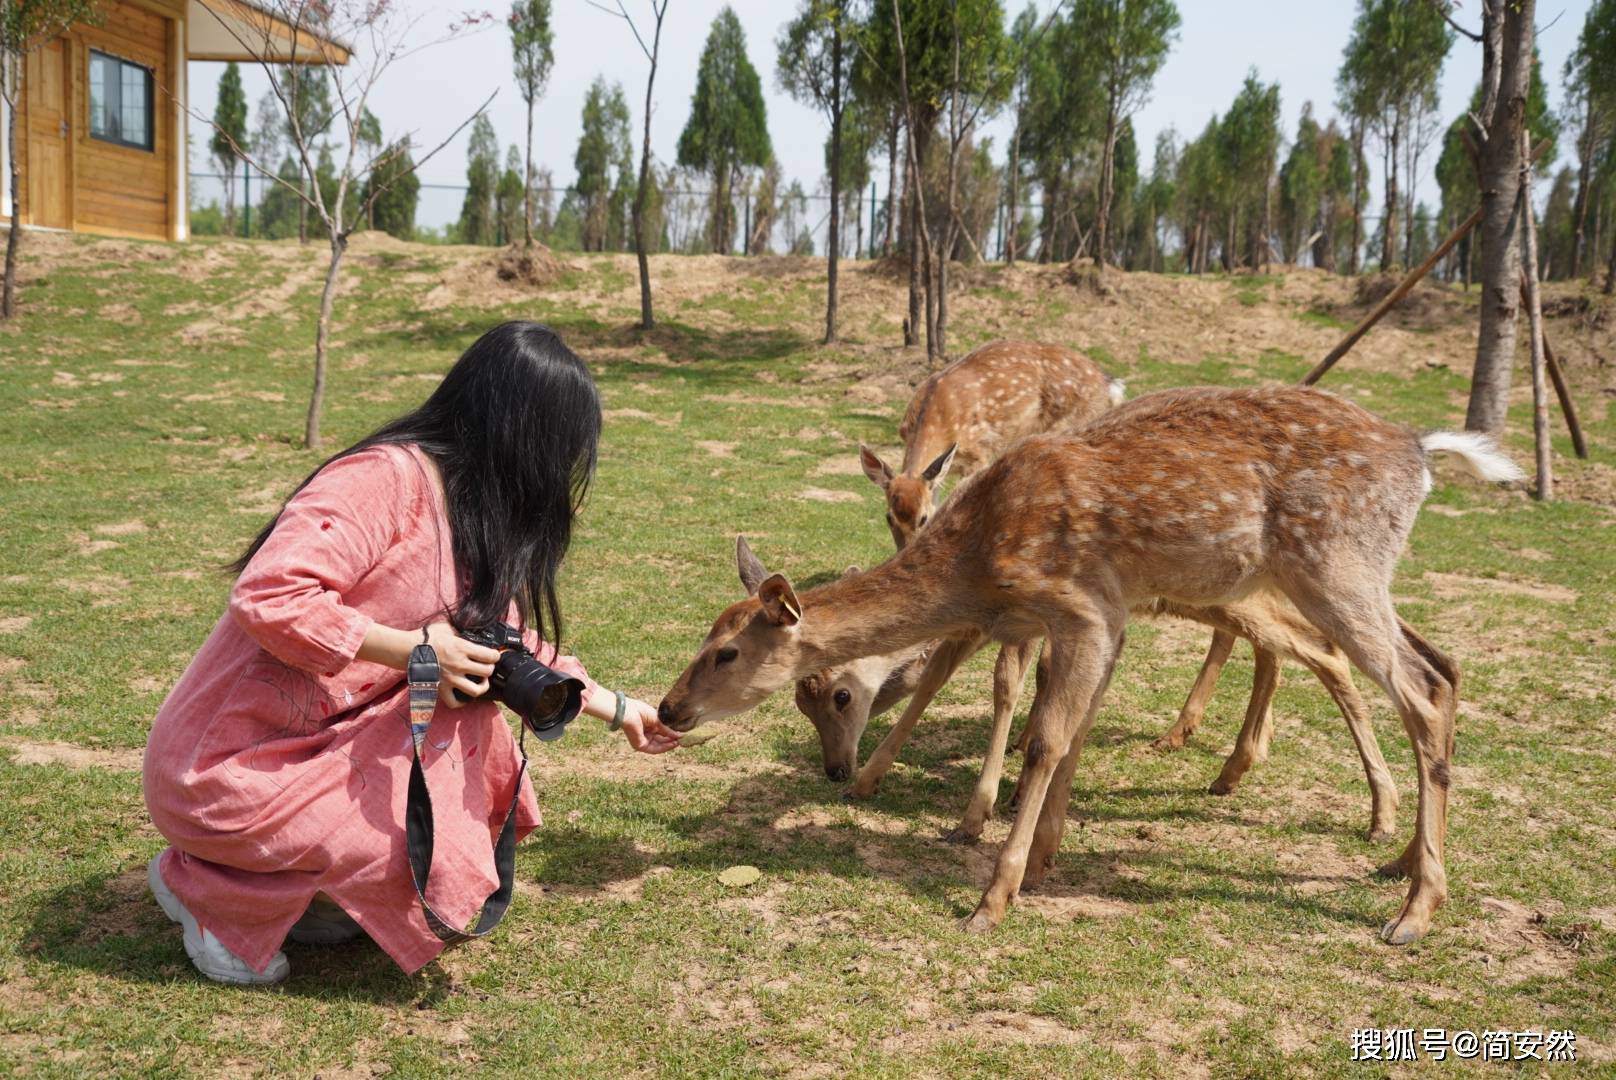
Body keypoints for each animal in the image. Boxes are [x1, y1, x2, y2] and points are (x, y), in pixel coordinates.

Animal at [656, 389, 1512, 944]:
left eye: (727, 650)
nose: (668, 708)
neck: (980, 559)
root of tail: (1422, 455)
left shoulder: (1079, 605)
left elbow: (1044, 737)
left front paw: (992, 896)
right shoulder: (1105, 617)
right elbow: (1066, 728)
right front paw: (1041, 862)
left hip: (1333, 566)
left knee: (1421, 689)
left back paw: (1412, 911)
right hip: (1339, 578)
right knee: (1444, 666)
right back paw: (1395, 858)